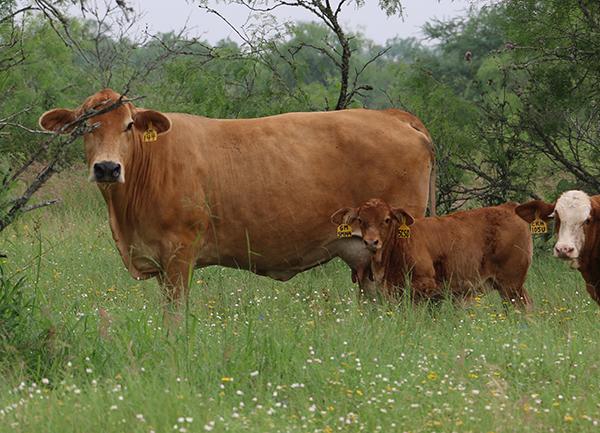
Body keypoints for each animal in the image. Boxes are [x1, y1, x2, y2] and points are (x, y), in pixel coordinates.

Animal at [38, 88, 436, 304]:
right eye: (85, 126)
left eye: (129, 126)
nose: (107, 168)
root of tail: (393, 116)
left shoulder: (179, 255)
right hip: (365, 258)